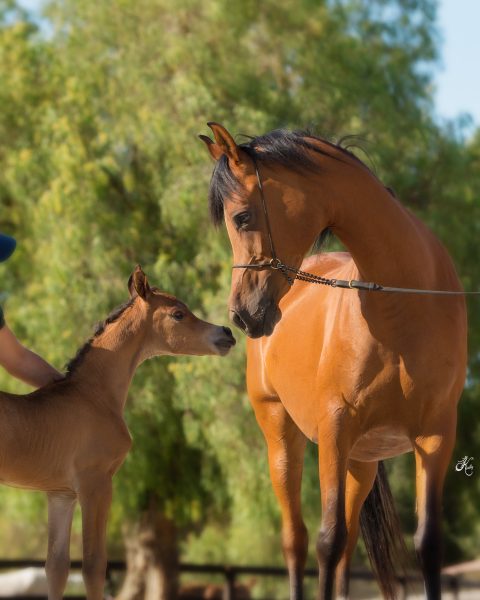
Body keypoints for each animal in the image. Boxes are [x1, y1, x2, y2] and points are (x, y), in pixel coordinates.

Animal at [0, 268, 234, 600]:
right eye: (178, 314)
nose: (226, 334)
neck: (94, 396)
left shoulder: (61, 494)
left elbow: (56, 568)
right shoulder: (96, 485)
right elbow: (93, 566)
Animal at [201, 124, 466, 596]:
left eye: (242, 217)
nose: (242, 315)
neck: (405, 305)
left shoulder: (436, 436)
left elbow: (428, 543)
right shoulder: (335, 430)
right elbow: (327, 539)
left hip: (362, 461)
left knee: (346, 547)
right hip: (283, 440)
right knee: (297, 541)